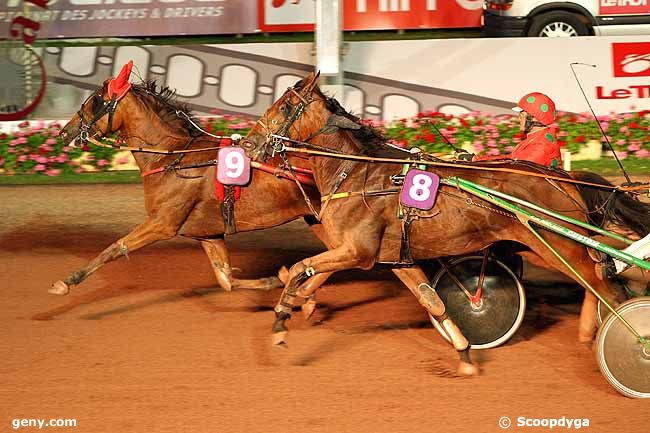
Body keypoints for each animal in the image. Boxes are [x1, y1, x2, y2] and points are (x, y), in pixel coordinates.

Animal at [52, 66, 332, 296]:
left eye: (95, 102)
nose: (65, 132)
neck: (172, 157)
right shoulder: (208, 233)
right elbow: (226, 279)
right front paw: (271, 281)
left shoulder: (163, 223)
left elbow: (115, 248)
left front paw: (66, 282)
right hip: (315, 218)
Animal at [244, 71, 648, 374]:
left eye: (285, 107)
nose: (248, 144)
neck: (359, 175)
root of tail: (563, 178)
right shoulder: (396, 258)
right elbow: (432, 300)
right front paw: (465, 354)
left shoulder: (356, 252)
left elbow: (301, 267)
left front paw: (280, 322)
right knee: (599, 281)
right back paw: (591, 331)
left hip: (557, 244)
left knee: (603, 284)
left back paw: (624, 335)